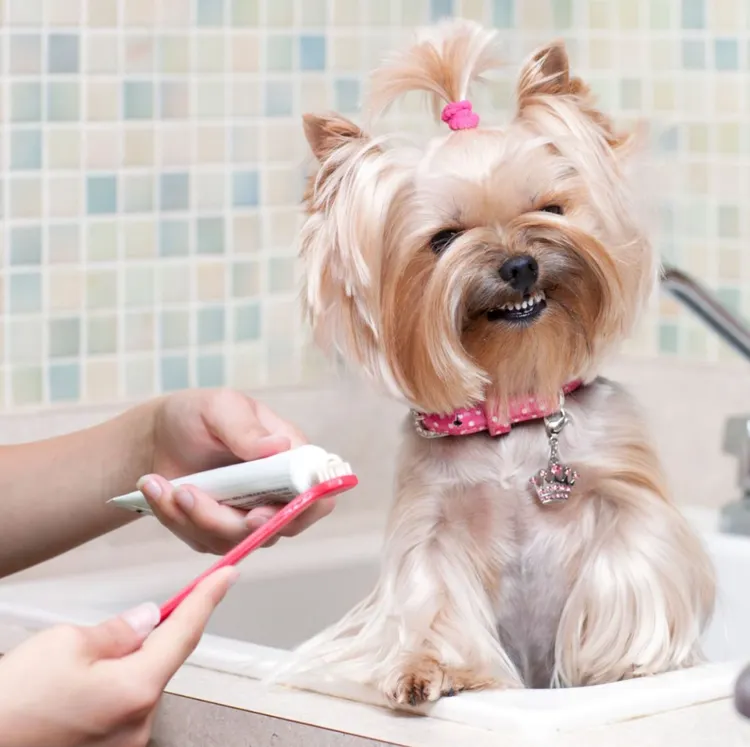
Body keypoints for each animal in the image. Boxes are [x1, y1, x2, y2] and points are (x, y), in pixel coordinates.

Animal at [290, 17, 716, 708]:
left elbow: (630, 564)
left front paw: (624, 664)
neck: (514, 405)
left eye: (550, 209)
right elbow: (434, 598)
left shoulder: (625, 492)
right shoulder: (432, 521)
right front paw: (433, 671)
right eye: (443, 240)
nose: (520, 265)